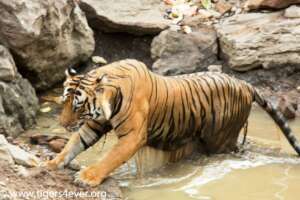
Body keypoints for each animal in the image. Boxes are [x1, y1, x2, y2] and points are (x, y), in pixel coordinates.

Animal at [44, 58, 300, 187]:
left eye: (77, 107)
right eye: (63, 103)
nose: (63, 124)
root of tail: (245, 84)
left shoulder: (133, 136)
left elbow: (110, 158)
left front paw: (88, 177)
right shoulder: (94, 125)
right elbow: (73, 145)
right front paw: (52, 163)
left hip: (221, 140)